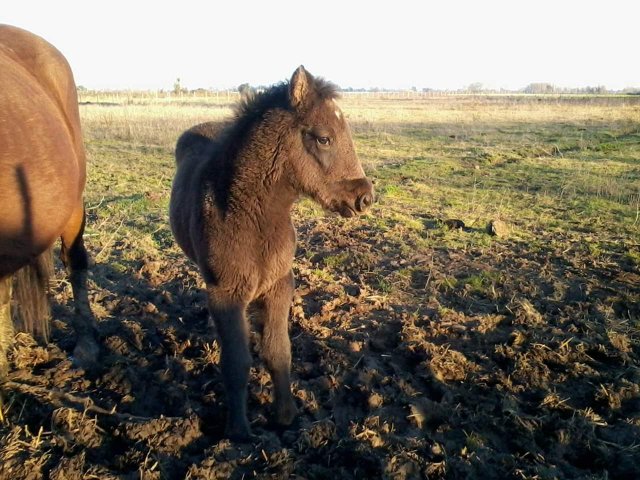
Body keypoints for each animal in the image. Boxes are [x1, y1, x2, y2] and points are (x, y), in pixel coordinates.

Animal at [170, 66, 374, 441]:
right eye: (323, 138)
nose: (364, 199)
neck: (252, 218)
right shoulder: (226, 293)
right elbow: (236, 362)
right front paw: (238, 432)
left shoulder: (280, 284)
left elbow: (278, 352)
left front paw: (286, 416)